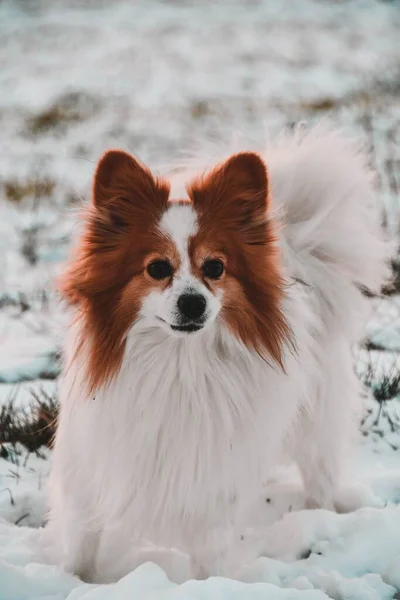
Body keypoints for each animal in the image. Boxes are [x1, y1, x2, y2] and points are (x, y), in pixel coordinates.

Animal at [44, 125, 390, 580]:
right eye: (157, 268)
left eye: (215, 268)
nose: (193, 303)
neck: (178, 363)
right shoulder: (89, 472)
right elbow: (81, 544)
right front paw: (75, 581)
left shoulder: (211, 485)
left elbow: (210, 556)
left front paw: (212, 584)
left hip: (316, 427)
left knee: (321, 477)